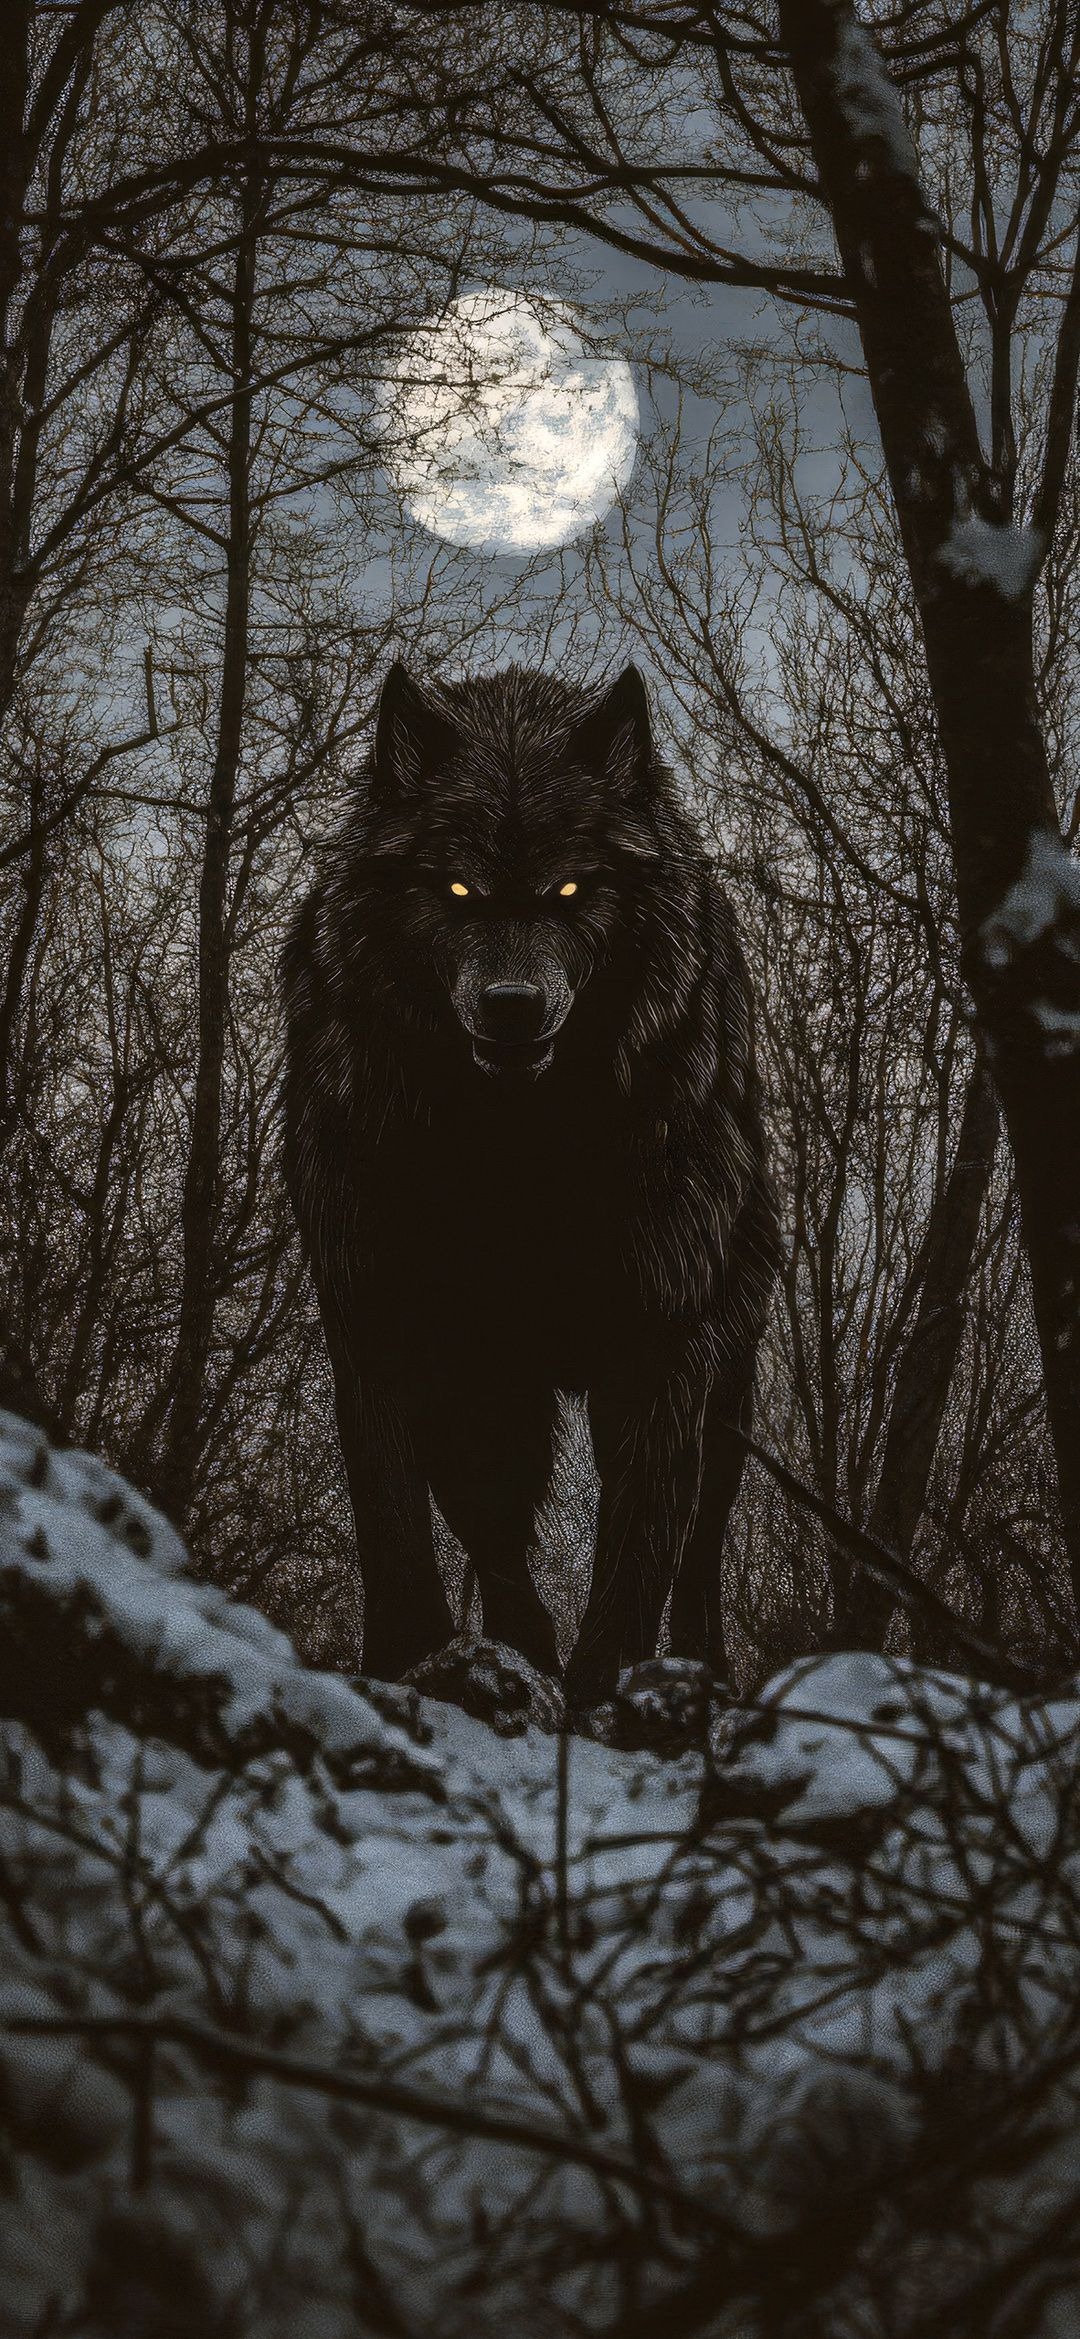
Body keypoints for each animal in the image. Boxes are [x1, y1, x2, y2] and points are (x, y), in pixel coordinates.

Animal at [282, 662, 779, 1702]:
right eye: (457, 886)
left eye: (571, 888)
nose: (512, 1007)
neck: (515, 1149)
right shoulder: (390, 1322)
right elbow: (403, 1515)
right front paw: (419, 1662)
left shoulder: (664, 1339)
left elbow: (642, 1538)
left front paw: (604, 1684)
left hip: (731, 1366)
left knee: (704, 1532)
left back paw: (697, 1662)